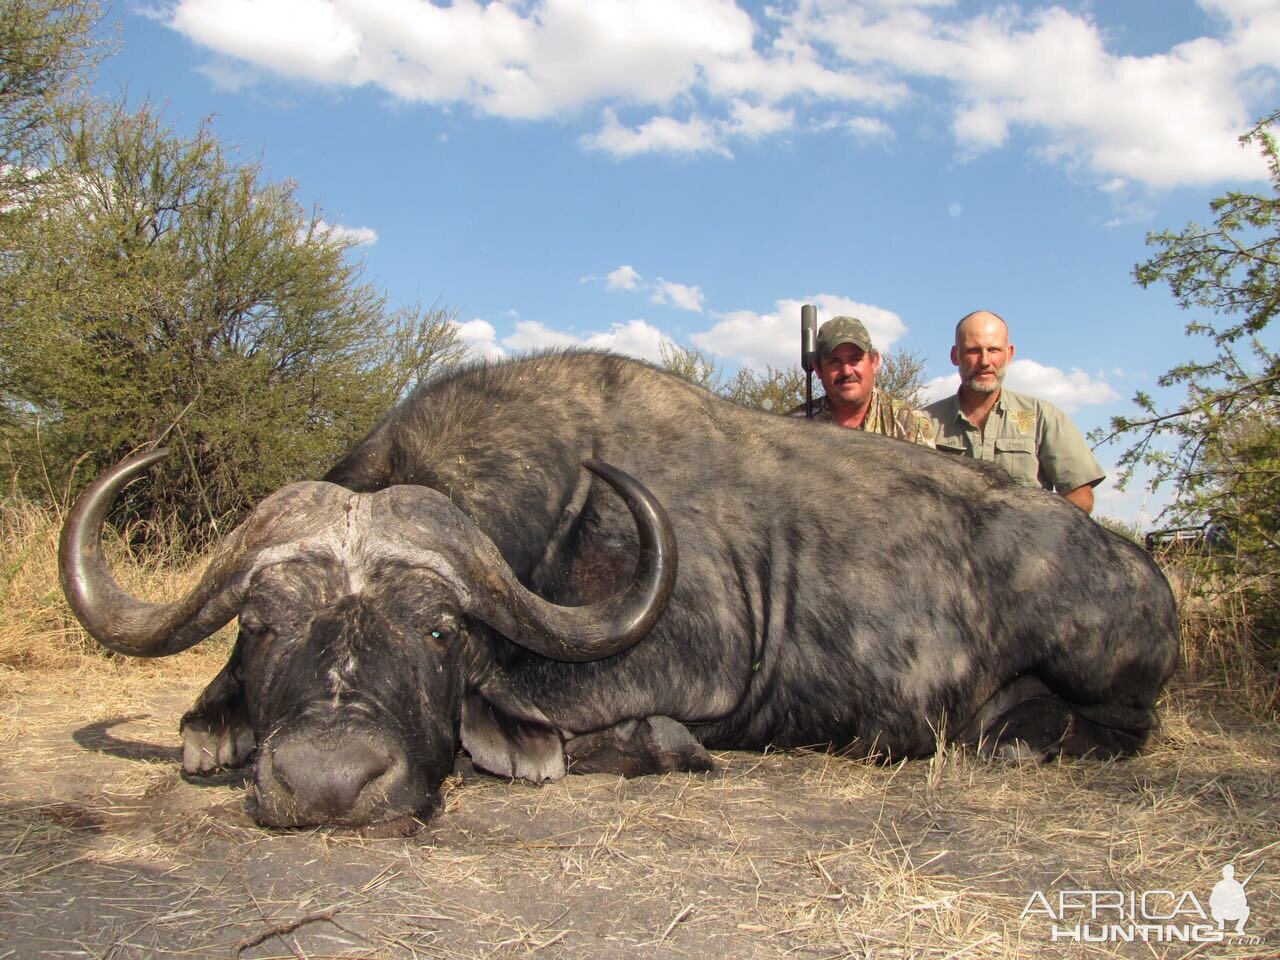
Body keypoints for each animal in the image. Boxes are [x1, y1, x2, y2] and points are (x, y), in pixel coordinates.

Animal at [60, 350, 1177, 829]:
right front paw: (218, 724)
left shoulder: (692, 666)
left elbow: (535, 721)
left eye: (441, 633)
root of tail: (1143, 571)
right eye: (261, 626)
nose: (331, 783)